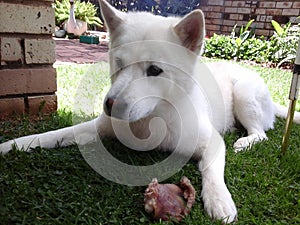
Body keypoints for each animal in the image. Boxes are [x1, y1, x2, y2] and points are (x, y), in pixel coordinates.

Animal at [0, 0, 300, 223]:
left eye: (155, 70)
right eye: (118, 63)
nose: (110, 105)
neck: (153, 119)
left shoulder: (211, 141)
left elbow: (212, 171)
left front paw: (219, 200)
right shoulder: (96, 128)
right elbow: (52, 135)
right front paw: (14, 144)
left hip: (244, 95)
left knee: (260, 133)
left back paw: (244, 142)